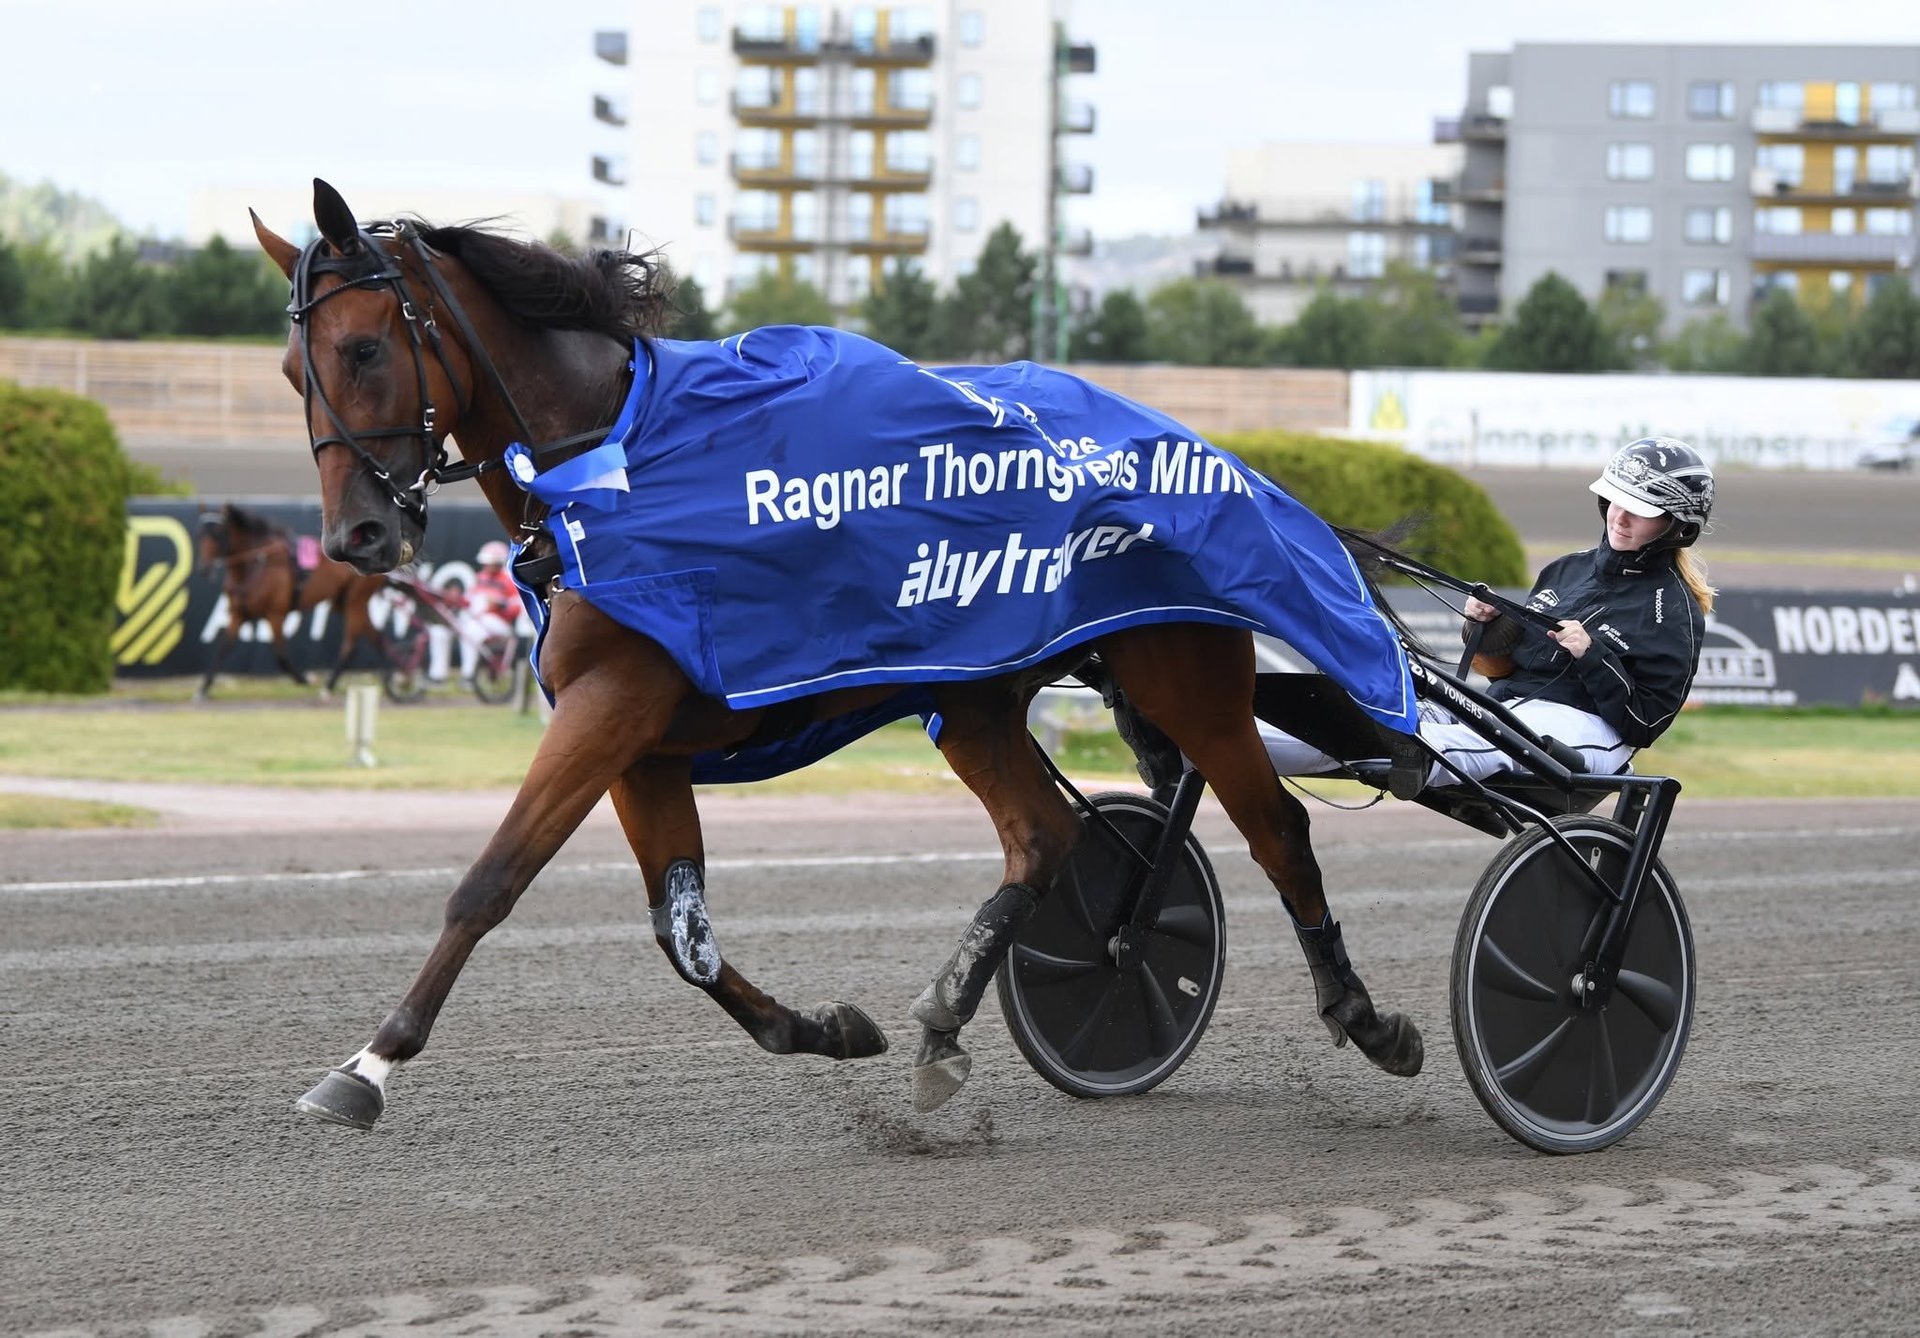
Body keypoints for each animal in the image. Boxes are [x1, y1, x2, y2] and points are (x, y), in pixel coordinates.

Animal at [194, 501, 390, 700]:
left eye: (217, 532)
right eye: (201, 532)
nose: (204, 568)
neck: (257, 564)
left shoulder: (275, 614)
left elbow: (280, 657)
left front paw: (304, 679)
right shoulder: (238, 614)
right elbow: (223, 648)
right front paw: (203, 688)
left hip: (355, 600)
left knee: (350, 646)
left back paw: (328, 686)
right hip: (343, 601)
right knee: (375, 636)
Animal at [252, 179, 1427, 1131]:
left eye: (365, 350)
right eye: (291, 370)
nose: (359, 536)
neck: (615, 465)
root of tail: (1214, 453)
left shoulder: (614, 705)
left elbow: (490, 881)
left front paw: (368, 1064)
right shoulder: (642, 740)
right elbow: (683, 935)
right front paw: (824, 1028)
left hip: (1187, 674)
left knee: (1277, 831)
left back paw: (1366, 1018)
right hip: (979, 699)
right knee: (1043, 839)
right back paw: (946, 1023)